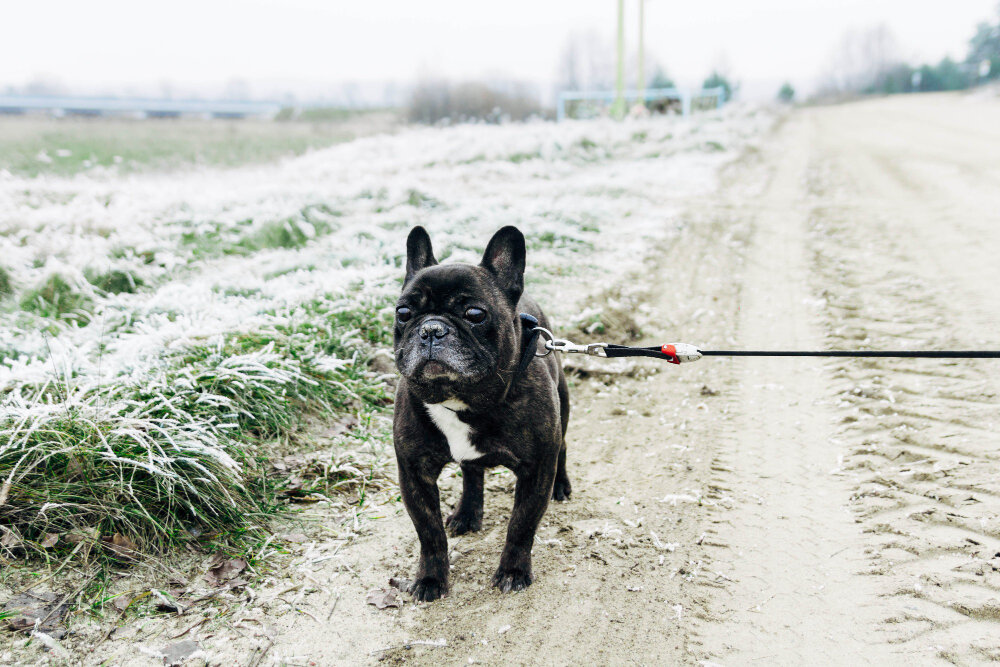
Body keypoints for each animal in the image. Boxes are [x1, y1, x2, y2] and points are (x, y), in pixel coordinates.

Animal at [394, 227, 576, 604]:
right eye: (403, 313)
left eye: (475, 314)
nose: (431, 330)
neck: (463, 399)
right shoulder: (413, 472)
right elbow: (429, 532)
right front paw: (431, 579)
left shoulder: (536, 469)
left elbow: (521, 526)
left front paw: (513, 572)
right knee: (471, 472)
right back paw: (467, 513)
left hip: (563, 408)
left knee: (563, 447)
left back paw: (561, 486)